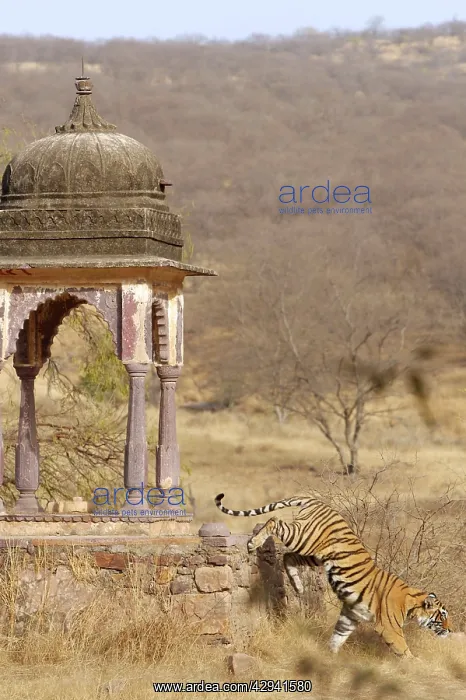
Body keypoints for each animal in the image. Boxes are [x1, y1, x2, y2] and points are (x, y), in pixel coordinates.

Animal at [215, 493, 451, 657]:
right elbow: (404, 650)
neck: (411, 604)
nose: (450, 631)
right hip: (303, 538)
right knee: (275, 521)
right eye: (442, 616)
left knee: (288, 557)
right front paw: (415, 664)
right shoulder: (389, 627)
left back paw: (298, 585)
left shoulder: (350, 614)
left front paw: (330, 658)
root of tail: (318, 501)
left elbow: (338, 636)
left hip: (314, 555)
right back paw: (253, 543)